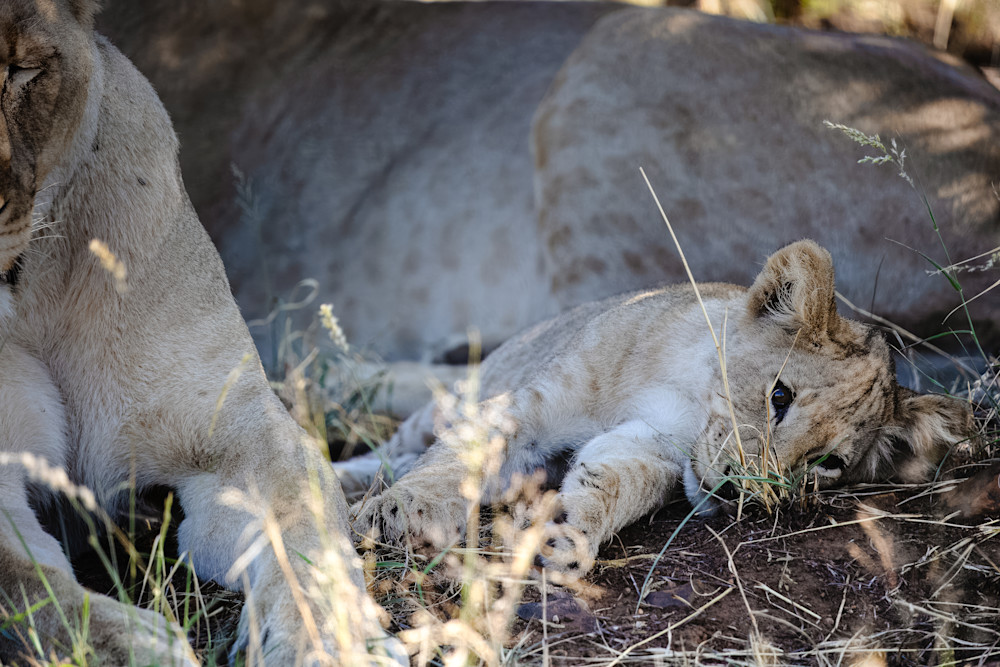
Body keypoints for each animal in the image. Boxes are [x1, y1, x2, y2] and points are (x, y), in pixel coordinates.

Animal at [0, 2, 404, 665]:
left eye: (21, 68)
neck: (32, 289)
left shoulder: (237, 433)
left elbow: (304, 529)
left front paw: (325, 641)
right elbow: (30, 589)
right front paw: (143, 645)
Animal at [342, 241, 972, 575]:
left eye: (830, 464)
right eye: (779, 396)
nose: (742, 494)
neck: (685, 394)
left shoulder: (650, 448)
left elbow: (614, 483)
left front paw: (564, 535)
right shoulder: (534, 406)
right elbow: (460, 458)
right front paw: (397, 511)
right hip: (458, 395)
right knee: (395, 446)